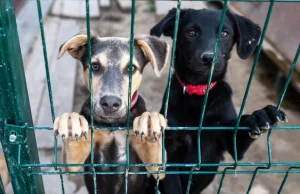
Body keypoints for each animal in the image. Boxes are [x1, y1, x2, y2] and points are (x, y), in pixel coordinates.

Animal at [151, 8, 288, 193]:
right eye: (191, 32)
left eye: (224, 34)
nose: (209, 58)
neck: (199, 95)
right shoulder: (169, 153)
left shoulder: (229, 139)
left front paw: (260, 115)